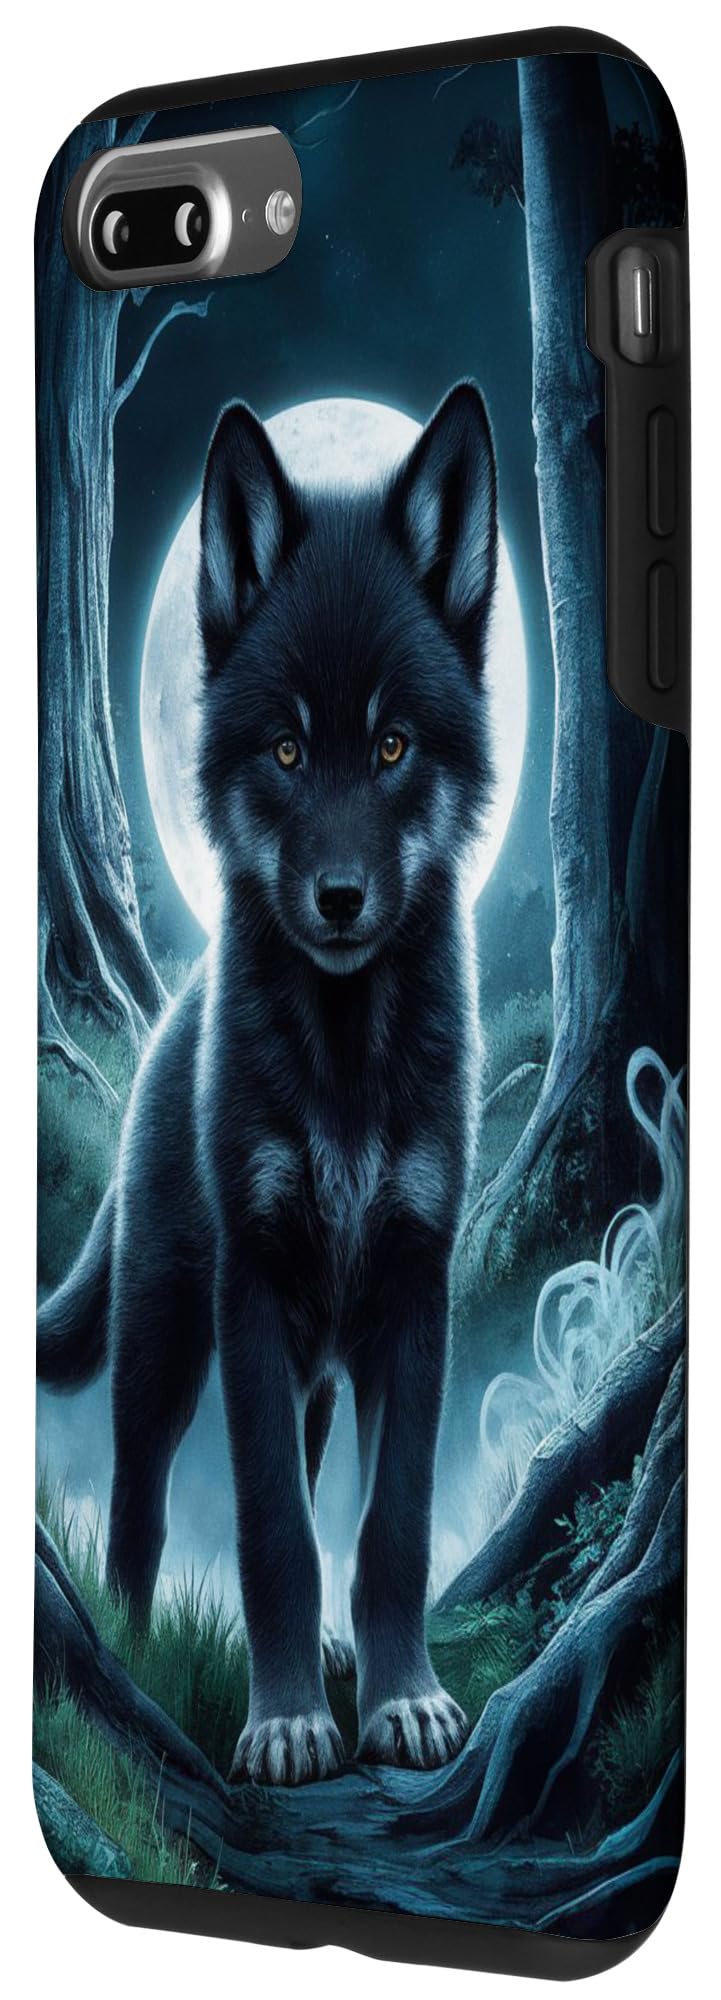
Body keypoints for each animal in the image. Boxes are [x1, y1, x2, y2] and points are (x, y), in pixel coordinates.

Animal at [38, 382, 498, 1785]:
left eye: (393, 744)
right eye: (288, 751)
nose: (339, 899)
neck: (344, 1059)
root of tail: (162, 1029)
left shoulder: (410, 1292)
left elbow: (389, 1525)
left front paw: (400, 1696)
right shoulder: (248, 1291)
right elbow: (274, 1536)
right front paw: (286, 1718)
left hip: (306, 1368)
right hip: (165, 1339)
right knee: (138, 1511)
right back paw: (139, 1651)